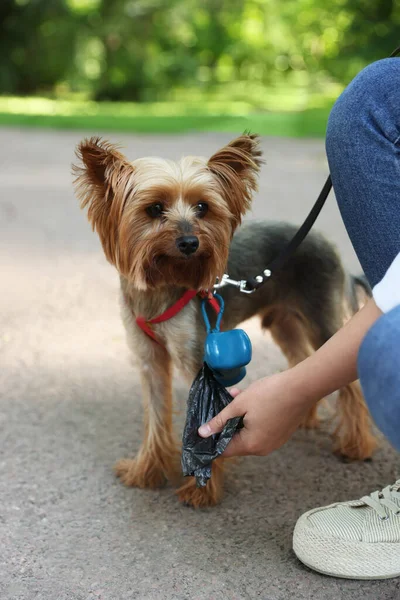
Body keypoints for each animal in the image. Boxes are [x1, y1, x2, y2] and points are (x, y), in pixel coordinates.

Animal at [72, 132, 378, 506]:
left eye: (203, 207)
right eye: (154, 208)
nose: (190, 242)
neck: (164, 285)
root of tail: (331, 246)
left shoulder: (196, 360)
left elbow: (203, 423)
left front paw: (201, 490)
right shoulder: (150, 360)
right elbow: (155, 416)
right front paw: (146, 471)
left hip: (322, 319)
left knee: (348, 384)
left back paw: (356, 445)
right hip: (284, 321)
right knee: (303, 361)